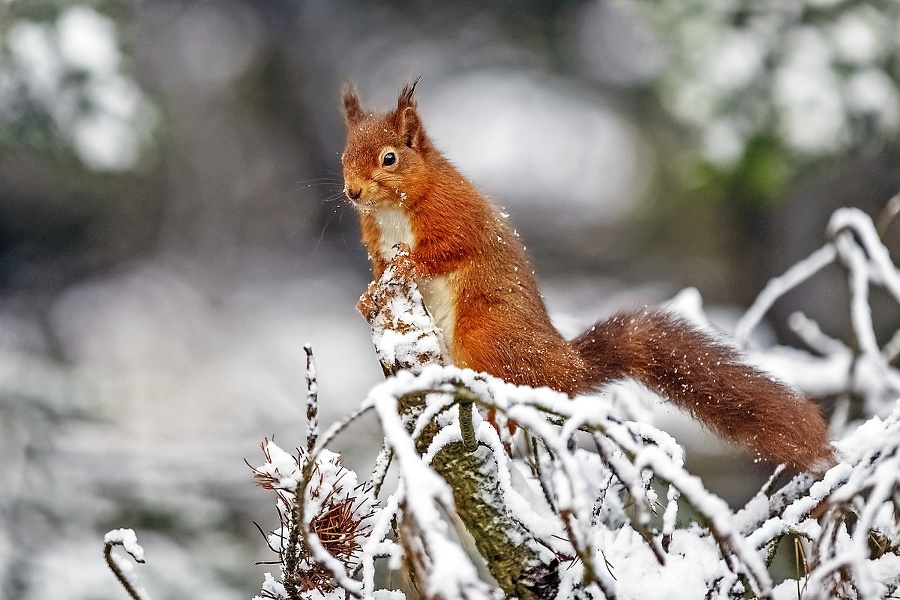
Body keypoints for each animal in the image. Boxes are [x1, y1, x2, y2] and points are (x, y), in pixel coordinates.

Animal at [340, 81, 836, 474]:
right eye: (345, 156)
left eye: (389, 158)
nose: (352, 192)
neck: (392, 210)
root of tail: (563, 366)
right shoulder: (375, 244)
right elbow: (380, 271)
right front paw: (369, 297)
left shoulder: (455, 216)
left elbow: (446, 252)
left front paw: (409, 265)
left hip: (484, 334)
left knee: (508, 398)